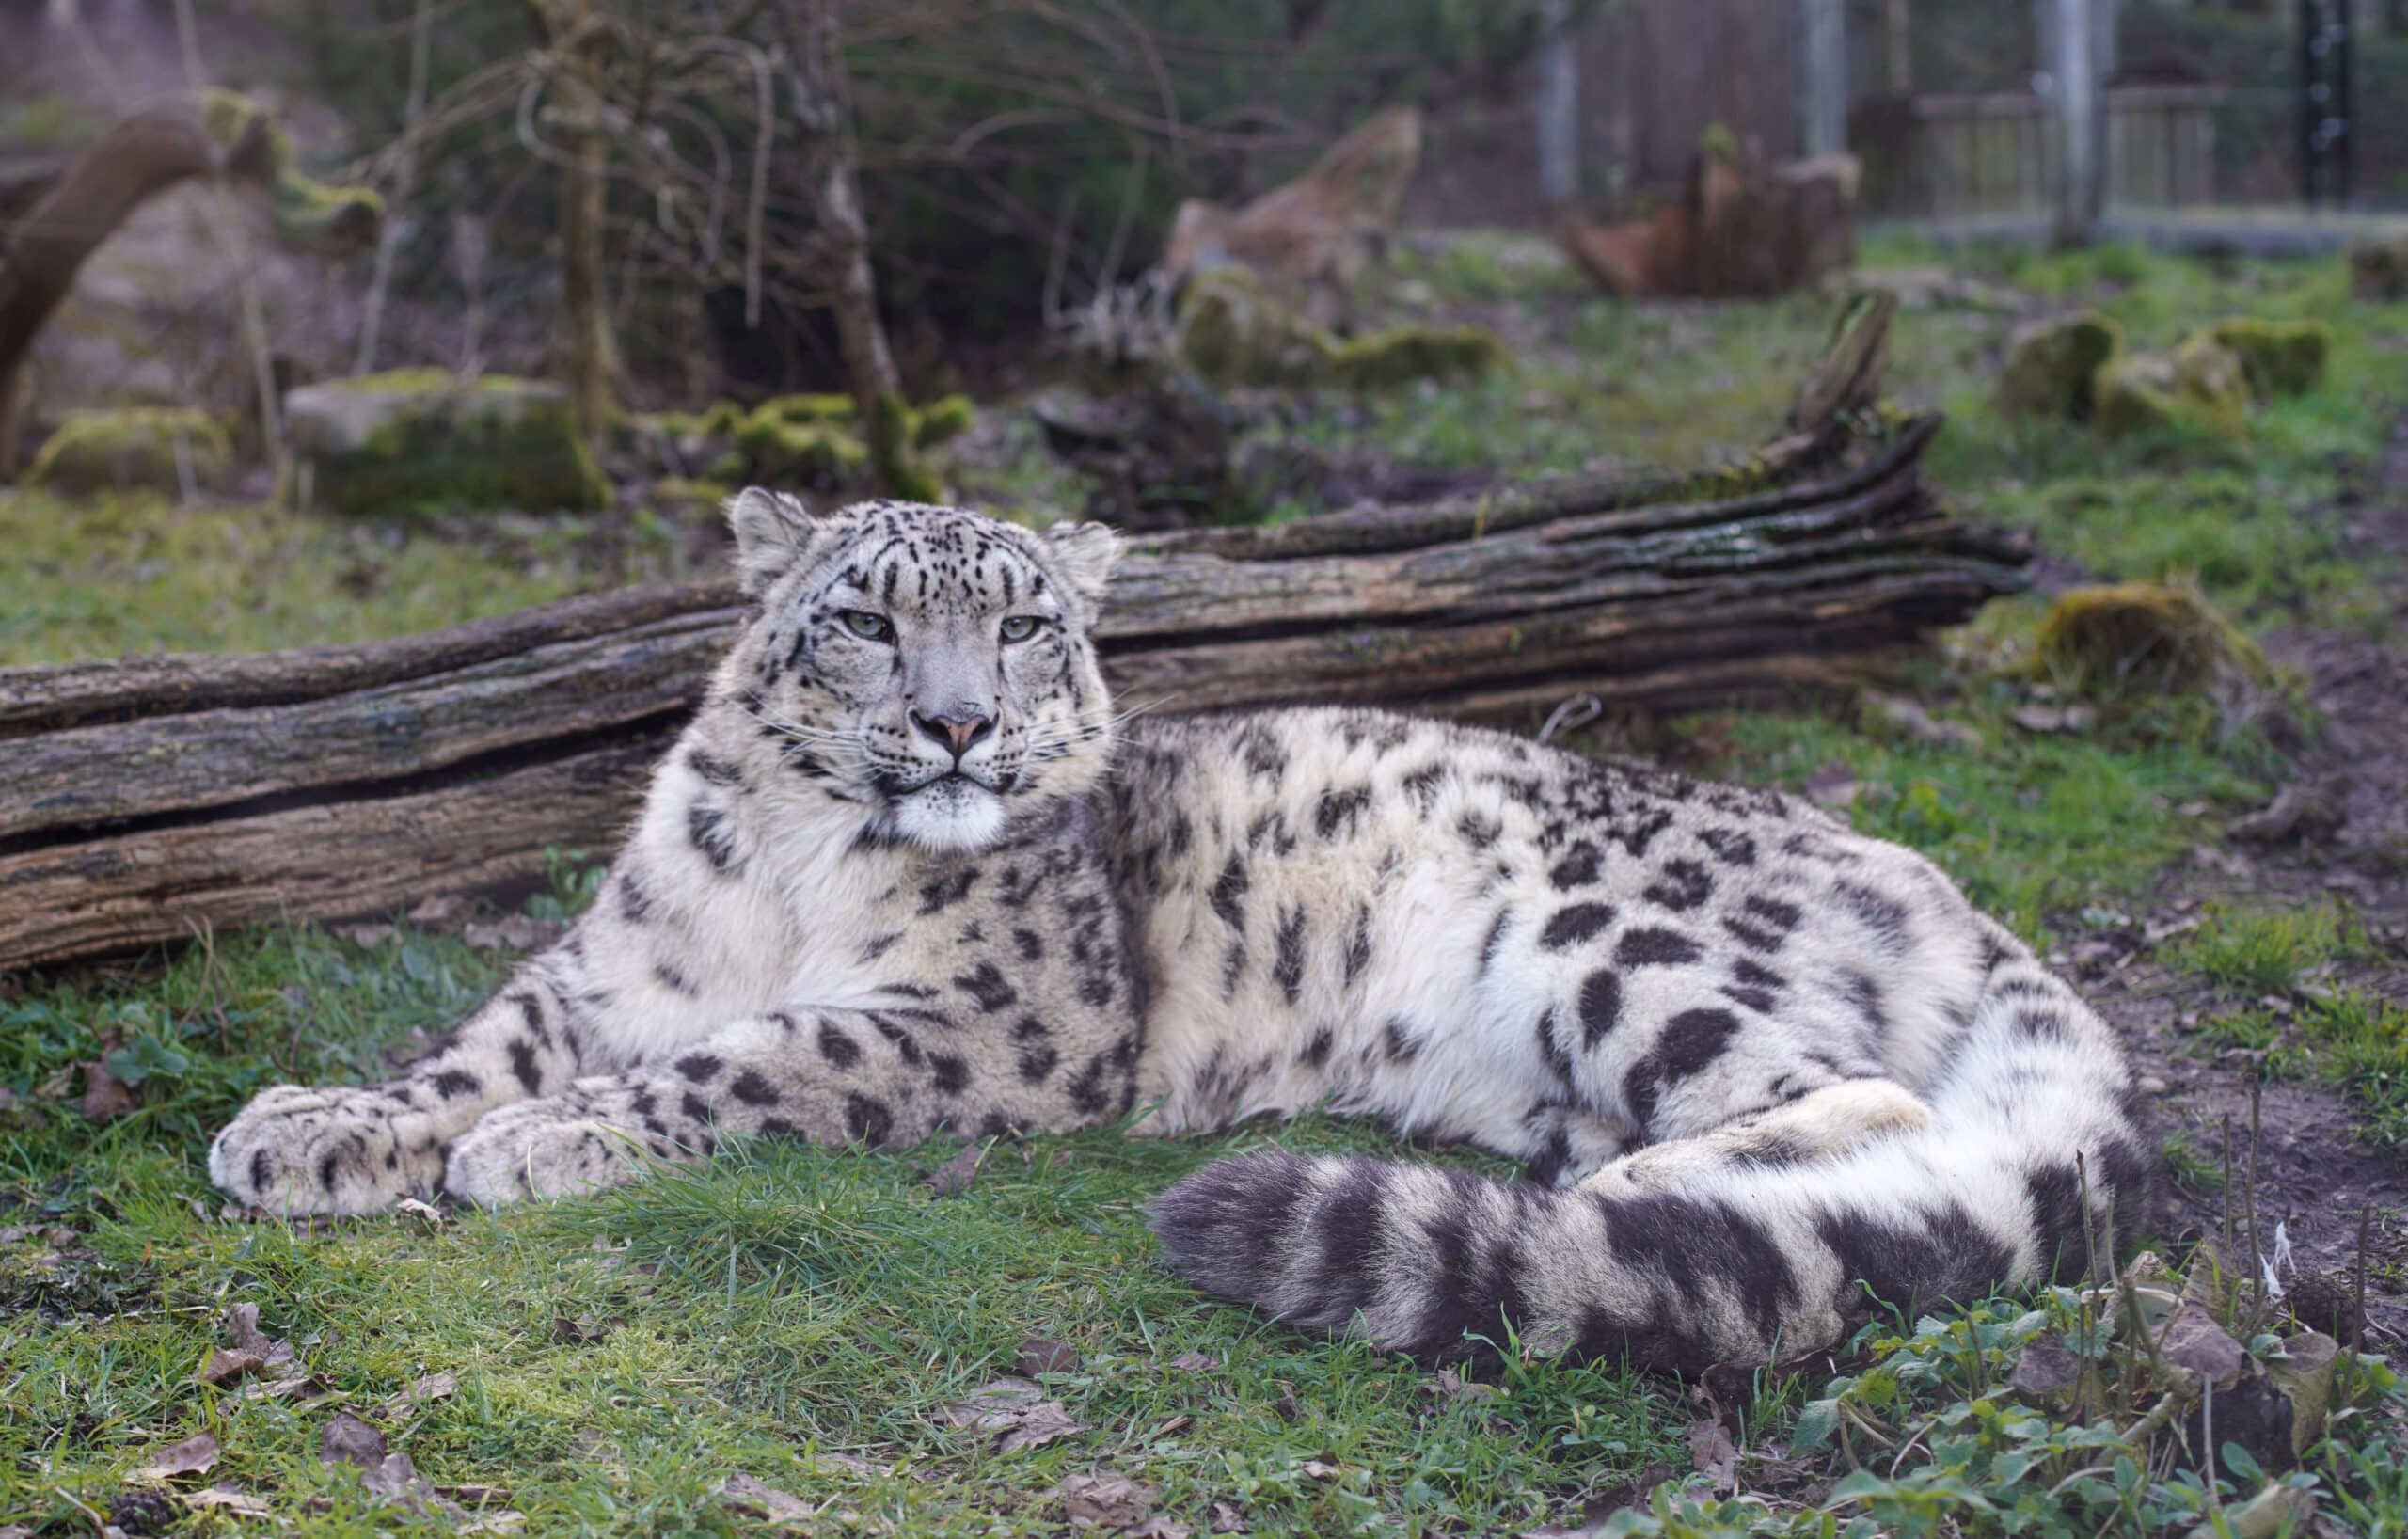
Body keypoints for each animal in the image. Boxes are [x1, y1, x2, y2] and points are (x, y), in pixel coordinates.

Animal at [210, 491, 2157, 1373]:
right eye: (864, 618)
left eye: (1023, 625)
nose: (954, 727)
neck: (796, 873)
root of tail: (1934, 883)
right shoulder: (617, 964)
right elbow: (482, 1038)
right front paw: (310, 1129)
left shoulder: (991, 1021)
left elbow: (760, 1058)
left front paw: (542, 1142)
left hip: (1612, 935)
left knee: (1853, 1098)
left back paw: (1614, 1210)